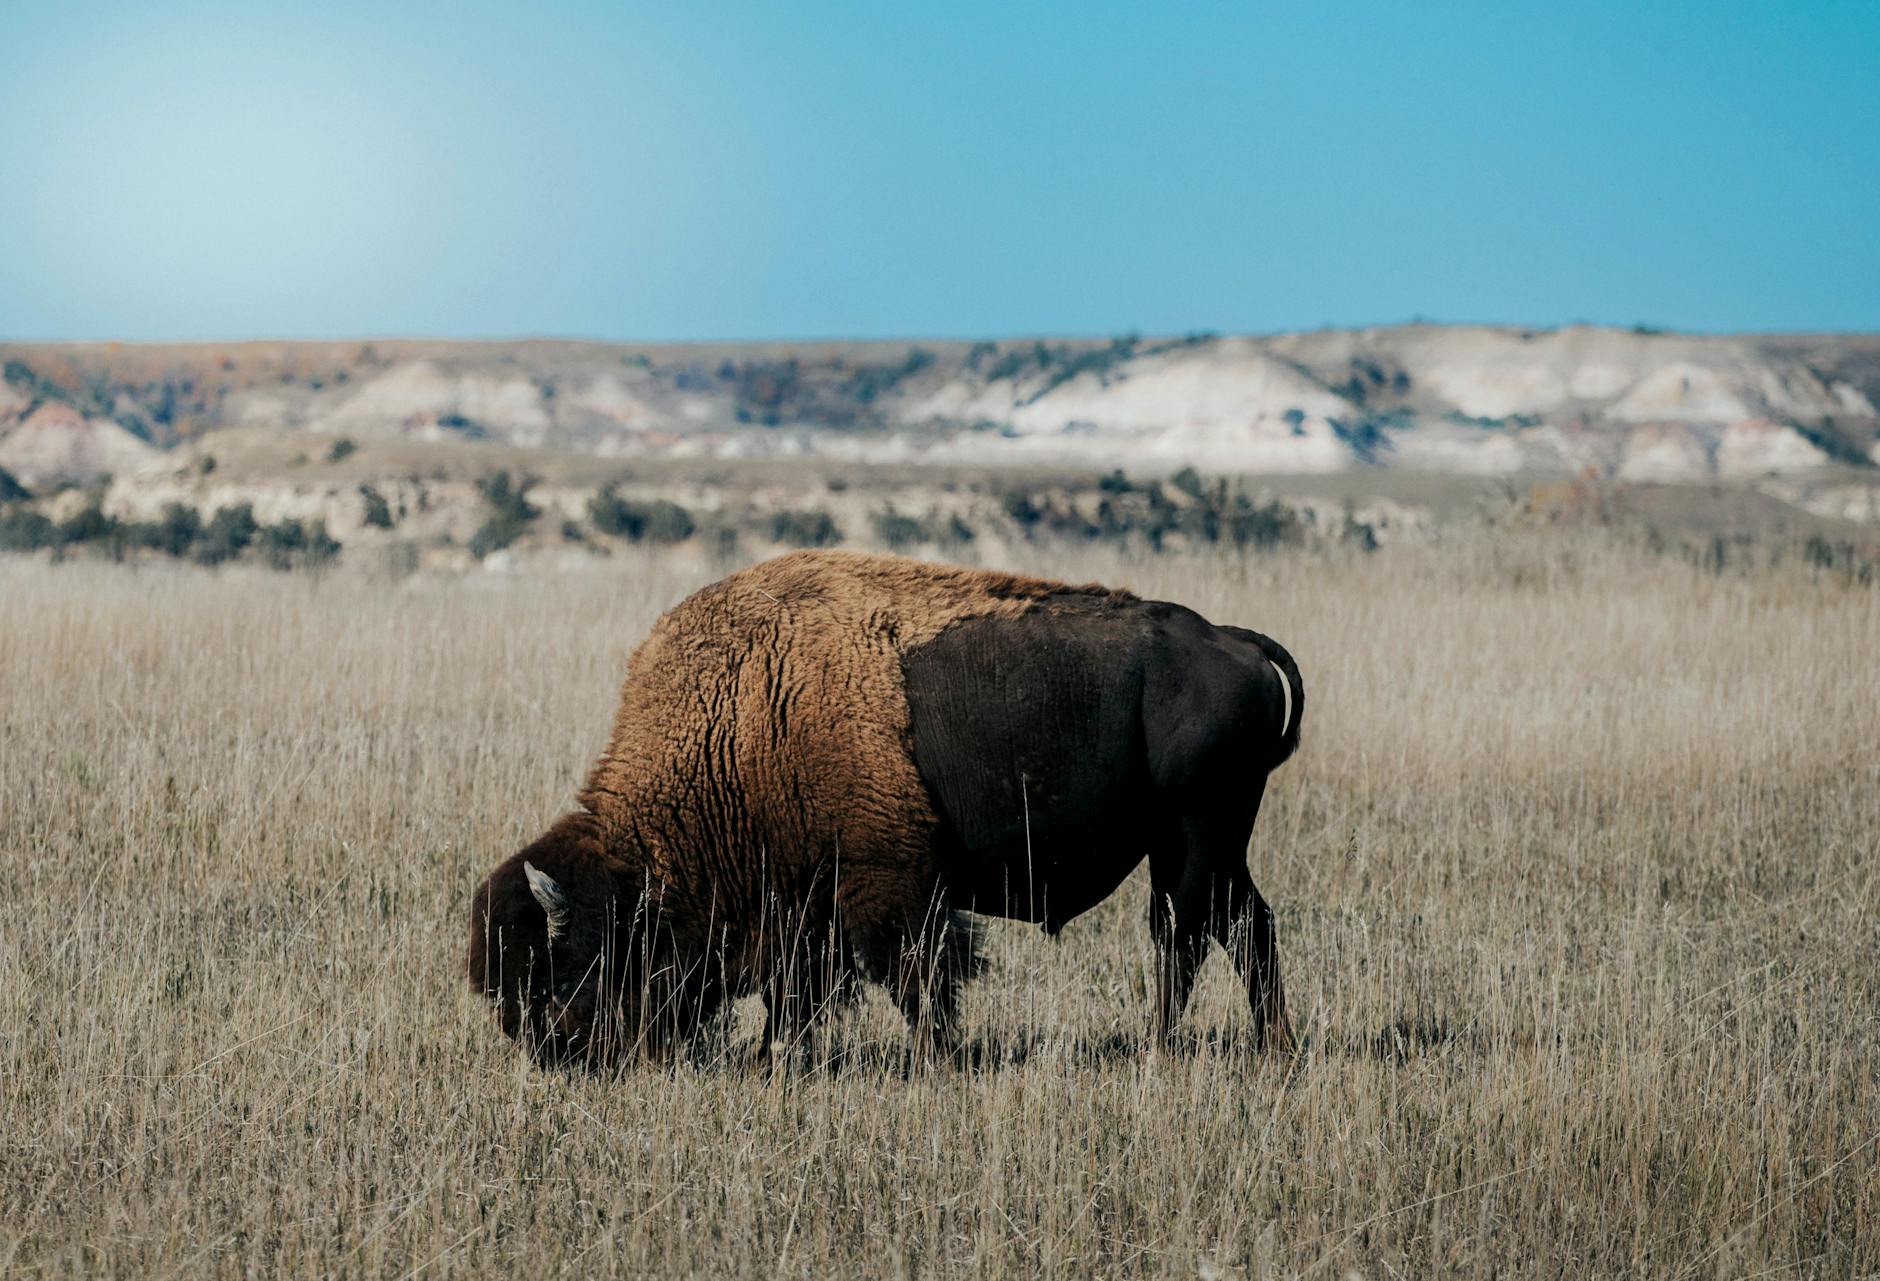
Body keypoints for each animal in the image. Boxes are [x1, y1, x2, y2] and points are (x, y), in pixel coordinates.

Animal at [468, 550, 1302, 1065]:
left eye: (565, 971)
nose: (555, 1052)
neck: (746, 711)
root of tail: (1234, 640)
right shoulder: (804, 907)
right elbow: (797, 992)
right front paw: (774, 1056)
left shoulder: (887, 888)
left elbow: (914, 978)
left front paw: (940, 1058)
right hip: (1203, 849)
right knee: (1243, 929)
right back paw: (1271, 1046)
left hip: (1195, 840)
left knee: (1189, 937)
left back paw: (1166, 1044)